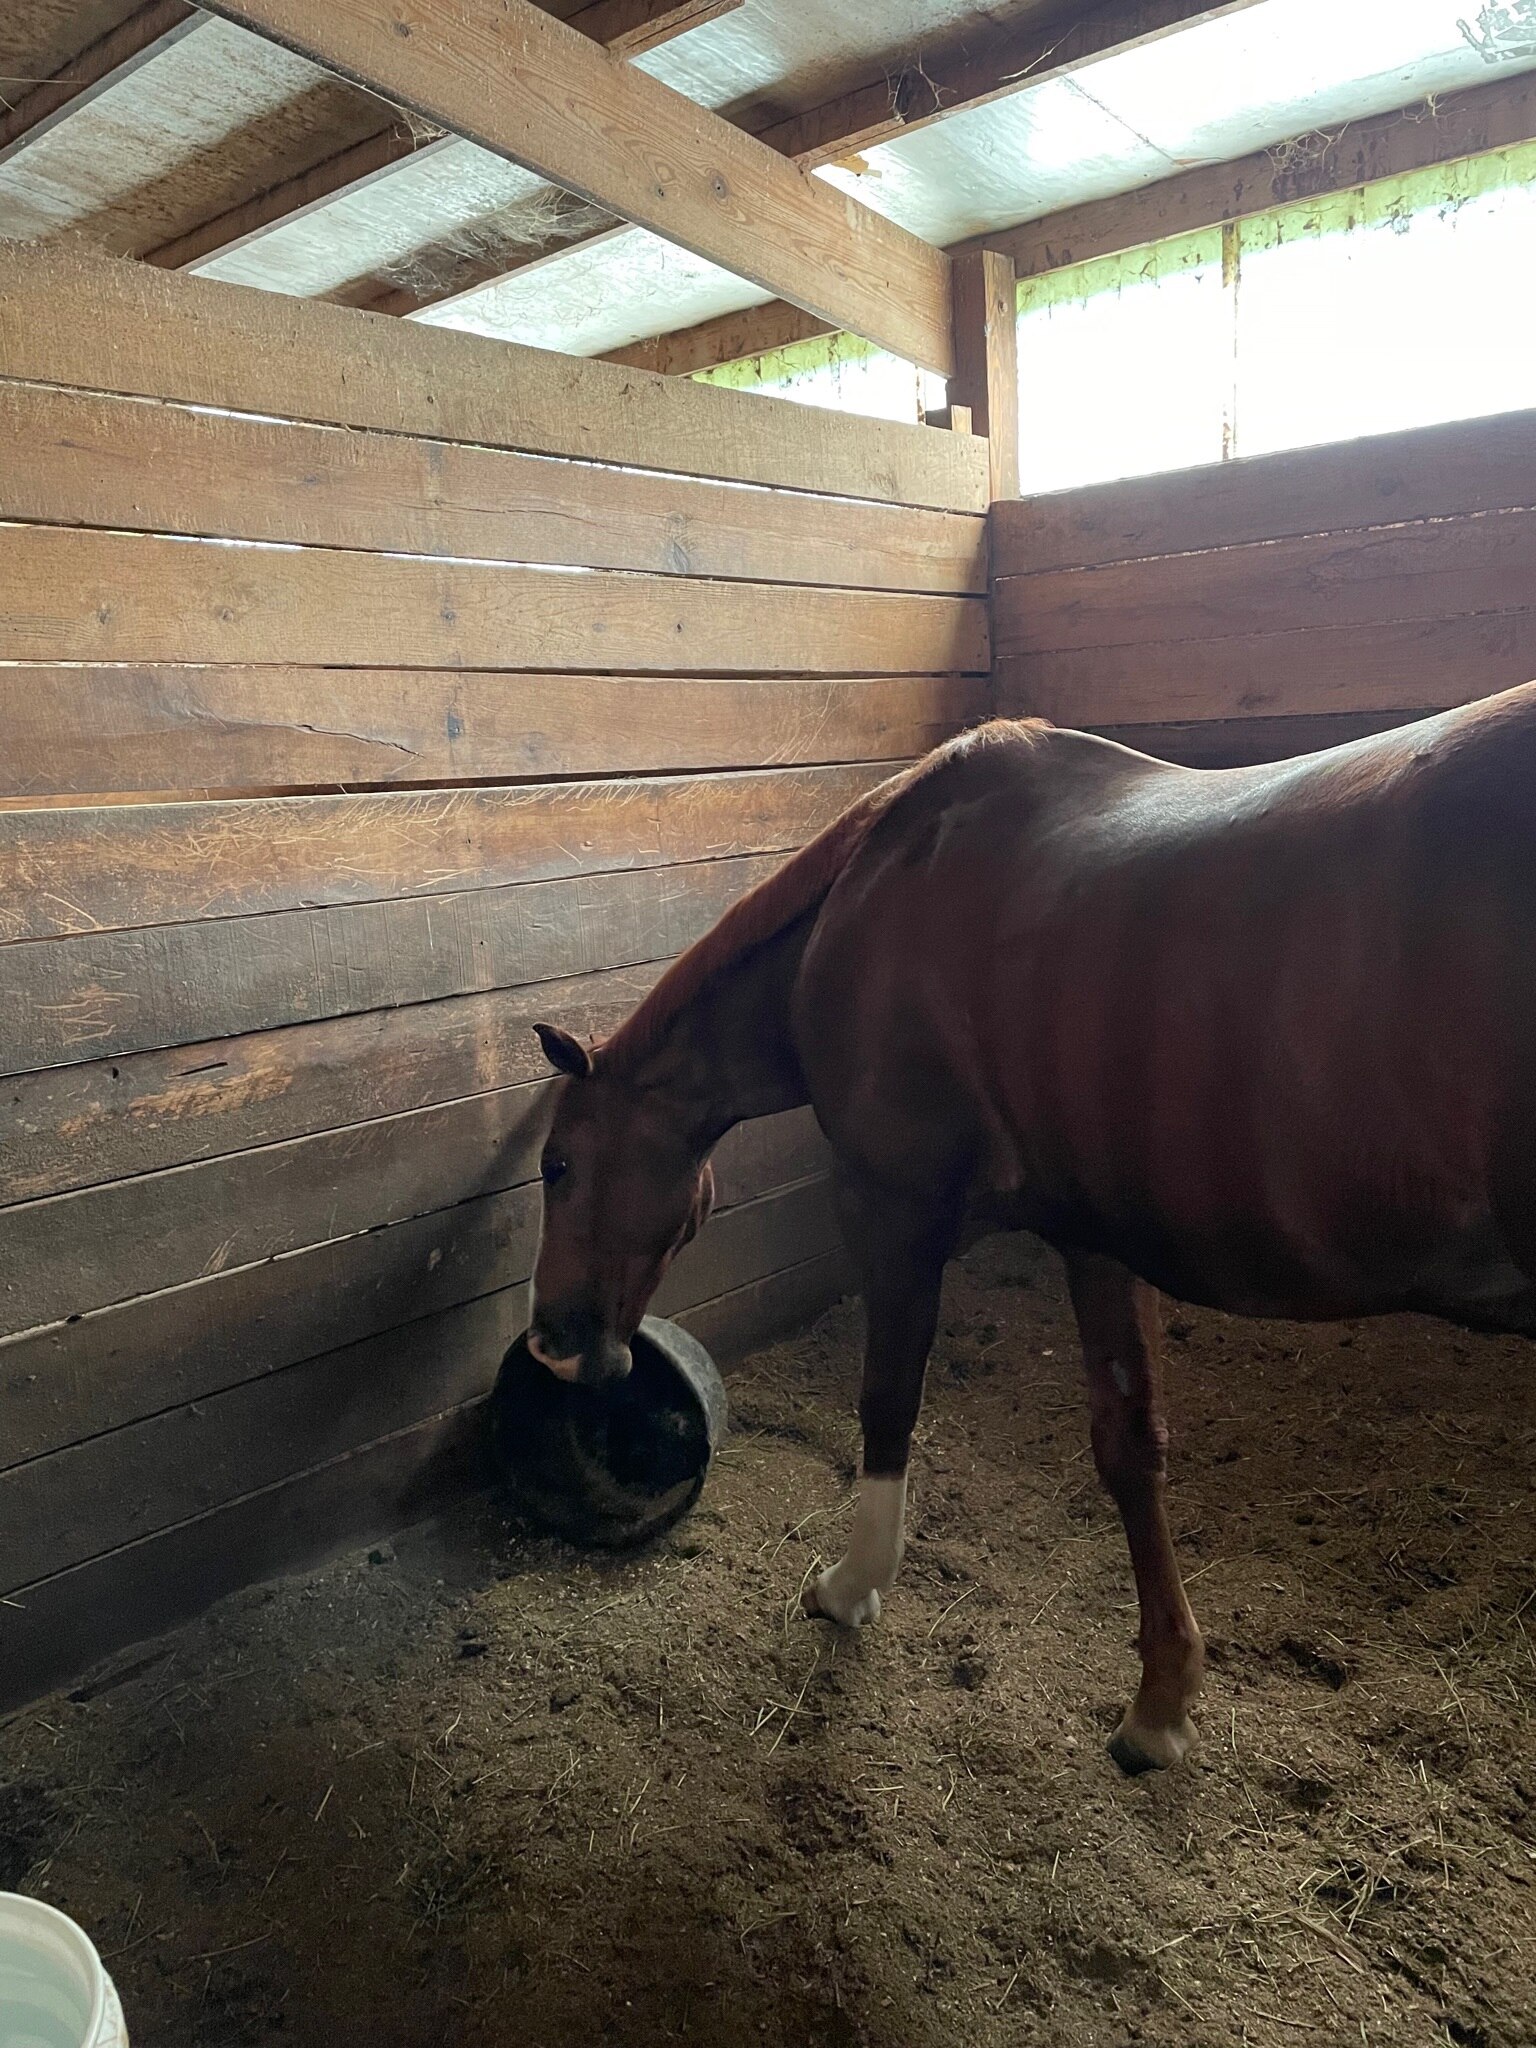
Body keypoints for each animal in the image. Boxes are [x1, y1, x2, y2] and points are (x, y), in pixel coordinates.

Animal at [525, 681, 1536, 1773]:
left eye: (559, 1164)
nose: (552, 1343)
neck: (872, 902)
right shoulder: (1093, 1236)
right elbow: (1129, 1446)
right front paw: (1161, 1700)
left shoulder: (892, 1206)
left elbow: (887, 1401)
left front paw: (851, 1586)